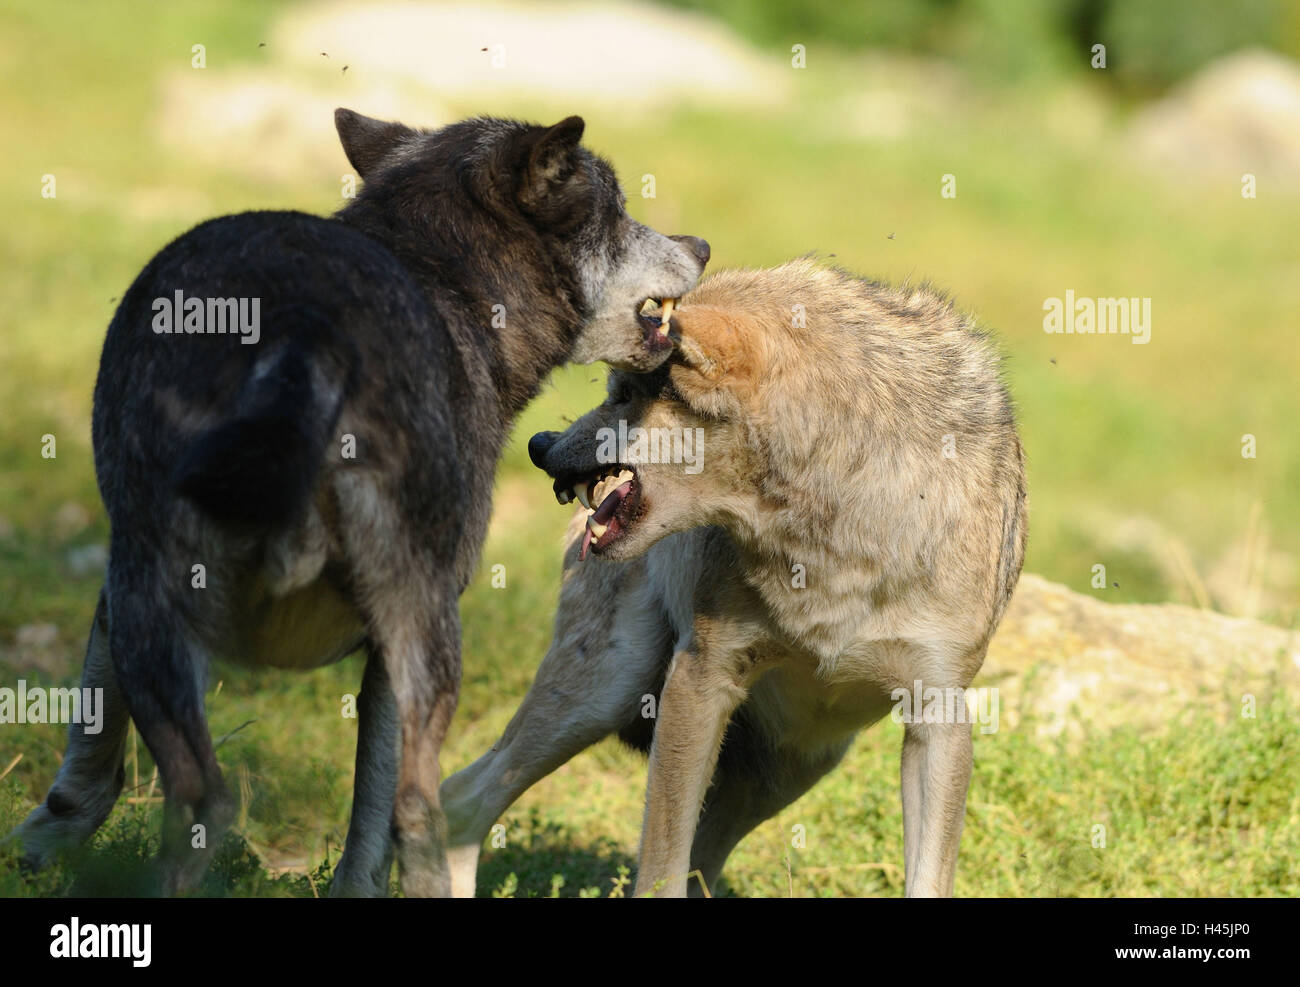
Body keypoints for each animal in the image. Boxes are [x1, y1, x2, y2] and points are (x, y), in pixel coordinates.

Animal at [7, 111, 712, 899]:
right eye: (618, 211)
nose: (701, 246)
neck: (441, 272)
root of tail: (310, 327)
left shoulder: (119, 591)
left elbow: (96, 724)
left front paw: (45, 838)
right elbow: (372, 816)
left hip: (154, 591)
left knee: (202, 799)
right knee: (409, 811)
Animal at [441, 260, 1029, 894]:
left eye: (624, 396)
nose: (537, 444)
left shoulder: (939, 718)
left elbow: (928, 878)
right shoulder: (702, 678)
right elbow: (659, 872)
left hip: (795, 767)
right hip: (605, 694)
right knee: (460, 797)